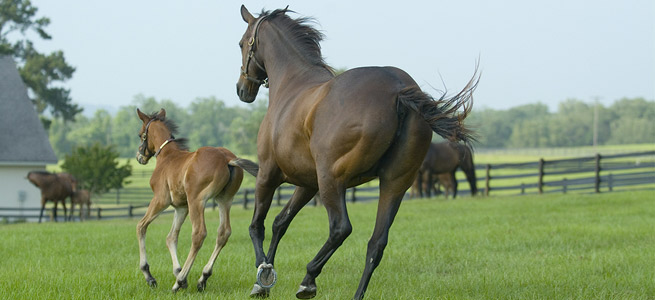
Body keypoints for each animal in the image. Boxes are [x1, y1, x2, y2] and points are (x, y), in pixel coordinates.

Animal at [134, 108, 258, 292]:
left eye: (141, 134)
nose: (139, 157)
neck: (168, 156)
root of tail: (227, 159)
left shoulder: (161, 199)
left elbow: (141, 226)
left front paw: (150, 276)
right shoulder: (181, 207)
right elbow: (171, 237)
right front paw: (178, 271)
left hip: (197, 200)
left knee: (199, 234)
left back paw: (178, 283)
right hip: (225, 200)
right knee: (224, 232)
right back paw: (202, 278)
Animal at [236, 5, 476, 298]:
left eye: (241, 44)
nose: (242, 89)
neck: (292, 86)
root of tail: (398, 90)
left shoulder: (269, 174)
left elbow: (257, 225)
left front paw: (262, 279)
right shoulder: (307, 183)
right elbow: (281, 222)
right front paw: (267, 274)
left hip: (332, 181)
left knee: (340, 229)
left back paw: (308, 280)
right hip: (395, 183)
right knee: (376, 243)